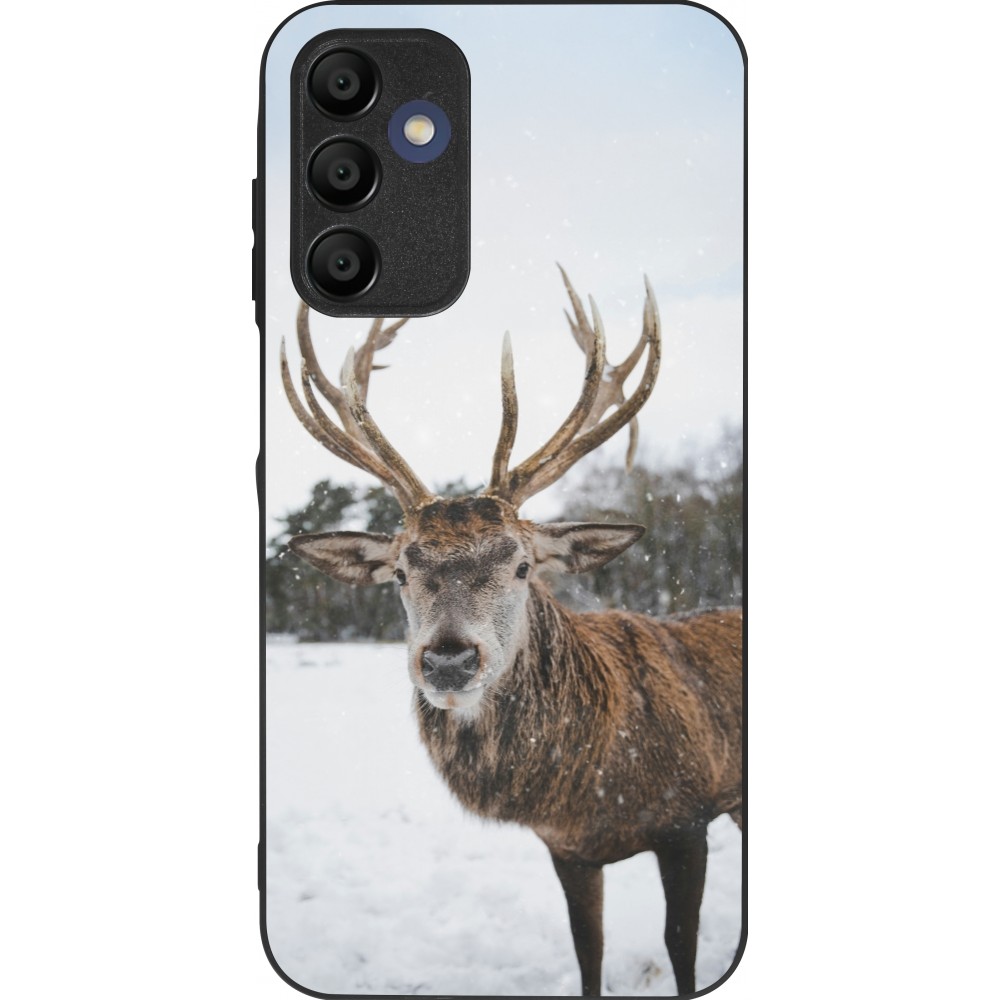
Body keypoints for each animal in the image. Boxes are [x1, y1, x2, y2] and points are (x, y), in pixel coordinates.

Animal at [278, 268, 743, 997]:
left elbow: (681, 948)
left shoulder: (689, 816)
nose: (448, 661)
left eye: (522, 564)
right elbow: (588, 951)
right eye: (401, 573)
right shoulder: (568, 849)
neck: (594, 785)